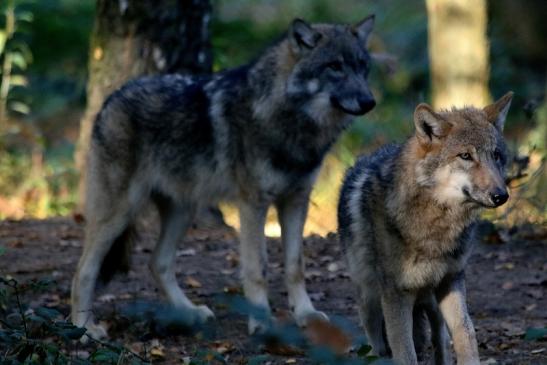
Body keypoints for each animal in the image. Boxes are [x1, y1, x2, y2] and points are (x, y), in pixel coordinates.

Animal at [71, 14, 376, 338]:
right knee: (83, 271)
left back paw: (189, 312)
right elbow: (258, 269)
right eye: (335, 66)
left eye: (362, 66)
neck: (287, 118)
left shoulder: (296, 200)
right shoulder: (253, 204)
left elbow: (296, 265)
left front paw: (306, 315)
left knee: (157, 262)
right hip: (119, 213)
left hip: (183, 210)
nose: (370, 101)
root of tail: (110, 99)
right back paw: (84, 327)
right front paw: (262, 323)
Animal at [338, 93, 512, 364]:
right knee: (377, 343)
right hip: (369, 299)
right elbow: (405, 352)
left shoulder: (451, 280)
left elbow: (466, 334)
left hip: (431, 300)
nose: (501, 196)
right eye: (465, 156)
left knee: (439, 337)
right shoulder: (396, 295)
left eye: (496, 155)